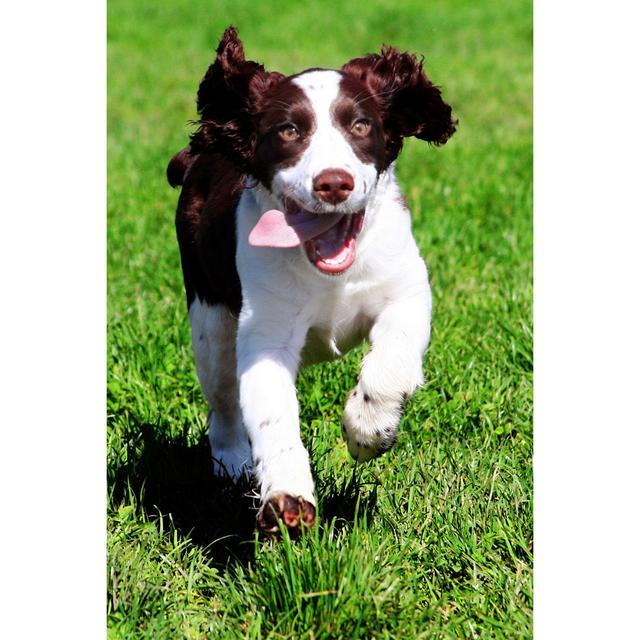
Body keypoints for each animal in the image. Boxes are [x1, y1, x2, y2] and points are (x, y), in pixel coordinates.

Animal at [165, 26, 456, 536]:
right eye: (289, 130)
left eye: (360, 126)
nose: (334, 183)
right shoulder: (265, 330)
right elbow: (271, 414)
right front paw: (287, 498)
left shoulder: (406, 291)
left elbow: (392, 365)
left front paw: (367, 431)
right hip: (209, 313)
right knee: (223, 399)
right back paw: (232, 464)